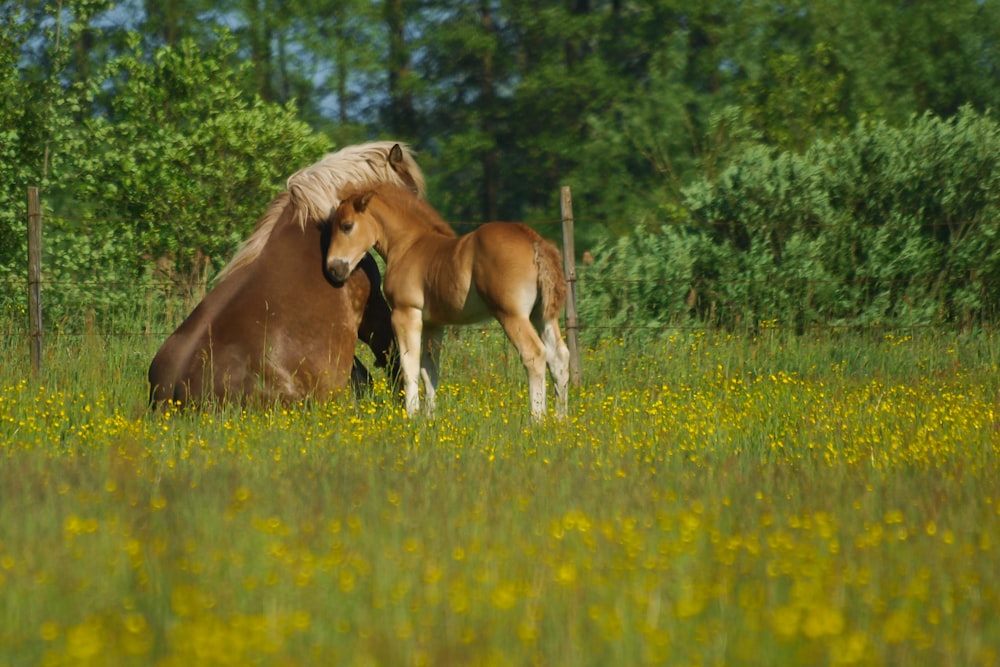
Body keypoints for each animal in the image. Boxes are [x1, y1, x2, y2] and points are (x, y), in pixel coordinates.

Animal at [326, 185, 572, 420]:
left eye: (346, 226)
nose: (333, 269)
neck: (409, 245)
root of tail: (534, 240)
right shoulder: (434, 324)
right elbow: (429, 370)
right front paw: (429, 417)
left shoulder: (405, 313)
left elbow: (409, 365)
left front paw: (411, 415)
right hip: (542, 315)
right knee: (559, 357)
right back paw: (561, 420)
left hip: (512, 316)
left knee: (534, 354)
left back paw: (536, 420)